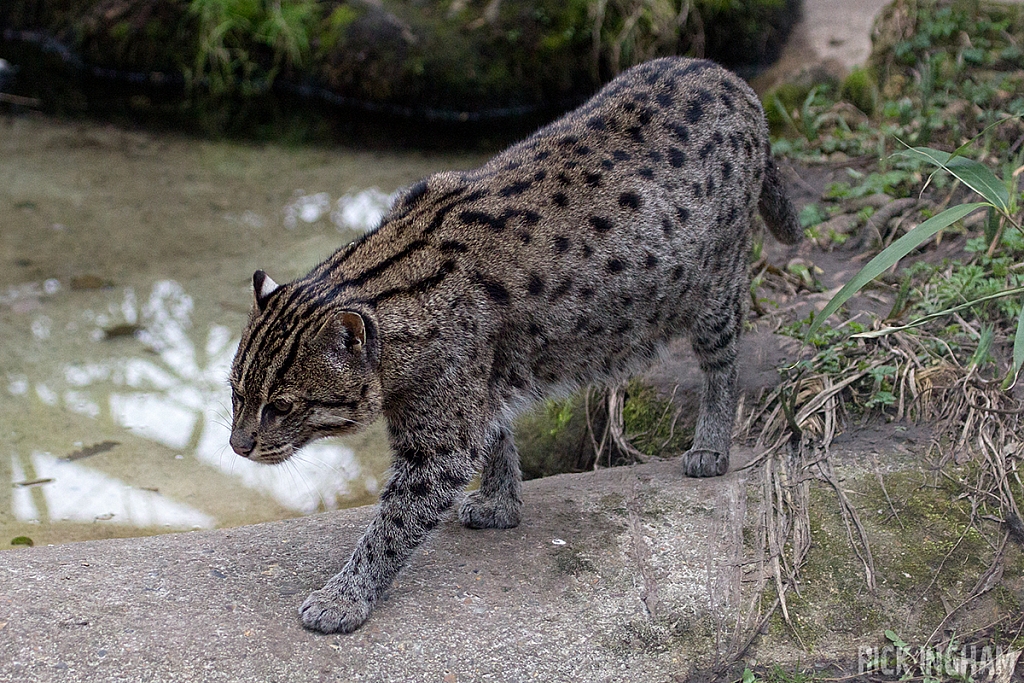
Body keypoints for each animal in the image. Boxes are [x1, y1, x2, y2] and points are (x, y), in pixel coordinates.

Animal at [228, 57, 802, 634]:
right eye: (235, 393)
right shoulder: (481, 385)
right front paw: (501, 504)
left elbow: (394, 523)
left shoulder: (442, 440)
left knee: (725, 362)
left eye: (282, 406)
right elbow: (498, 435)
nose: (237, 446)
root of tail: (730, 78)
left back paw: (711, 445)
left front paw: (346, 595)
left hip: (716, 288)